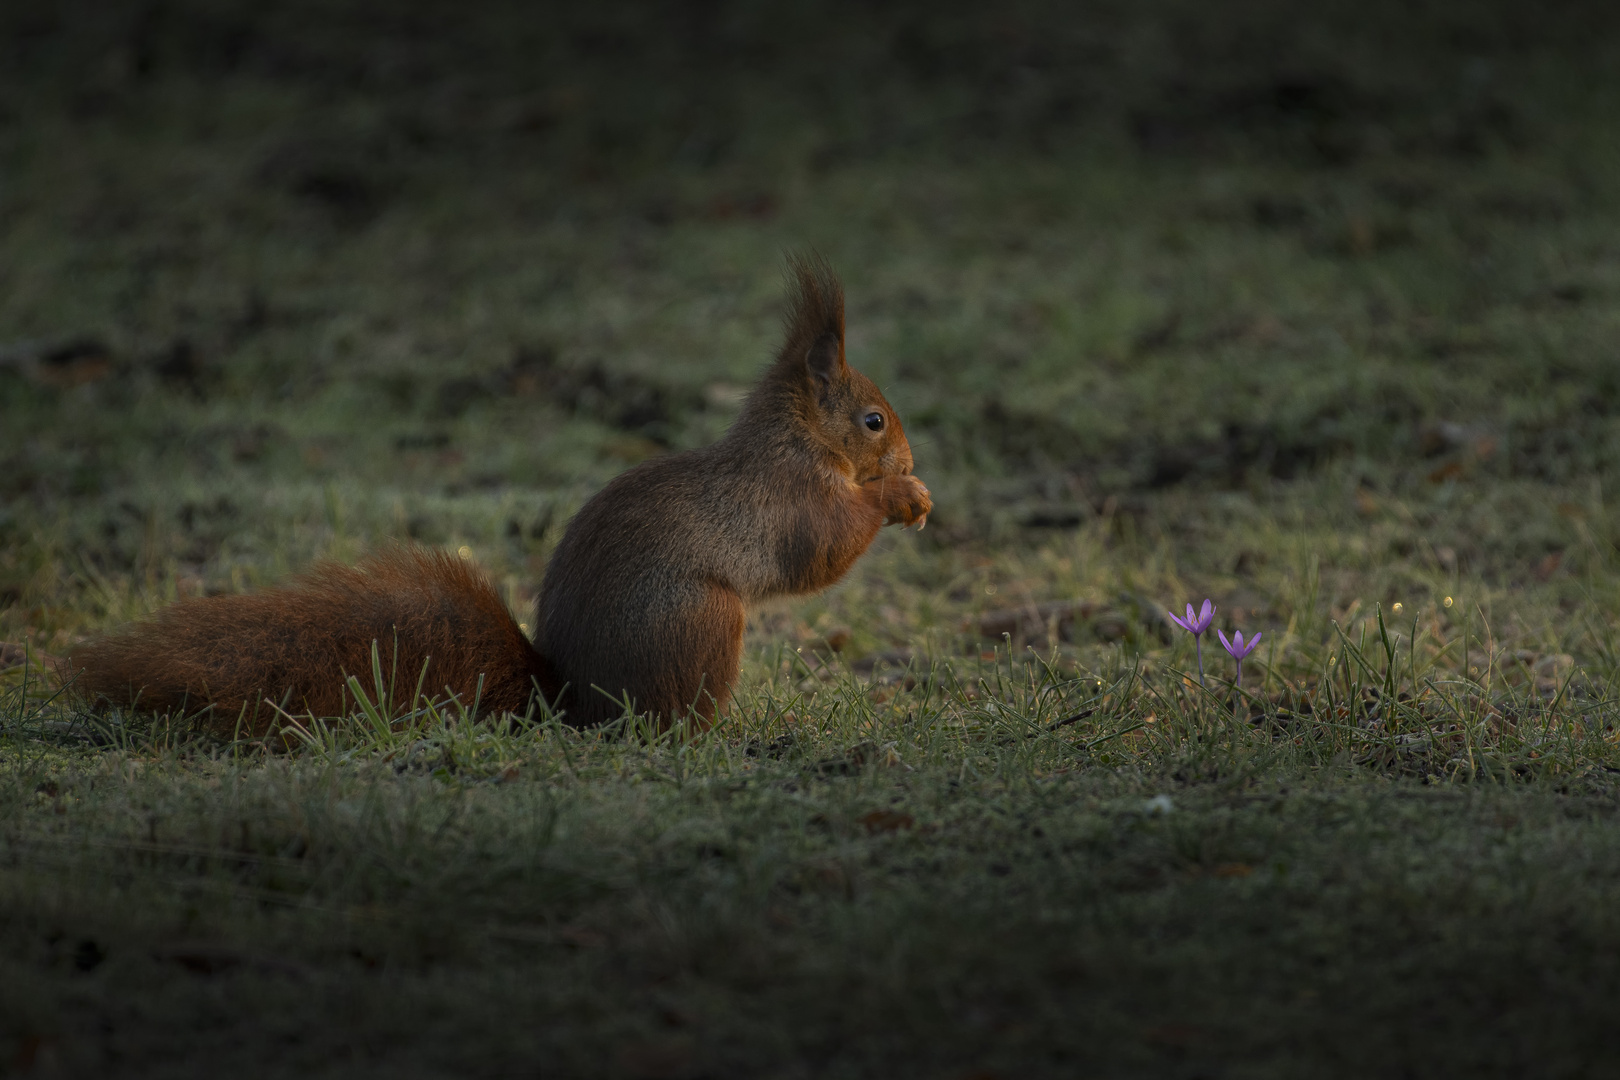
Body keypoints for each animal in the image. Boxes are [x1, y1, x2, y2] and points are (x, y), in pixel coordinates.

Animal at [69, 257, 933, 731]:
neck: (799, 440)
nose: (909, 453)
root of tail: (571, 702)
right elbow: (822, 551)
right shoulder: (792, 497)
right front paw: (899, 495)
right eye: (873, 419)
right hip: (703, 621)